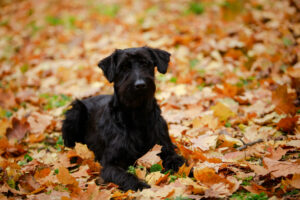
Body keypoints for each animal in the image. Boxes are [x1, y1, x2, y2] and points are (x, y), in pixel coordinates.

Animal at [61, 46, 184, 191]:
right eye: (124, 67)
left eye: (145, 63)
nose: (140, 84)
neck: (137, 114)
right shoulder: (111, 164)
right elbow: (125, 176)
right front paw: (140, 186)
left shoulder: (165, 148)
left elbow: (179, 162)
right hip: (75, 112)